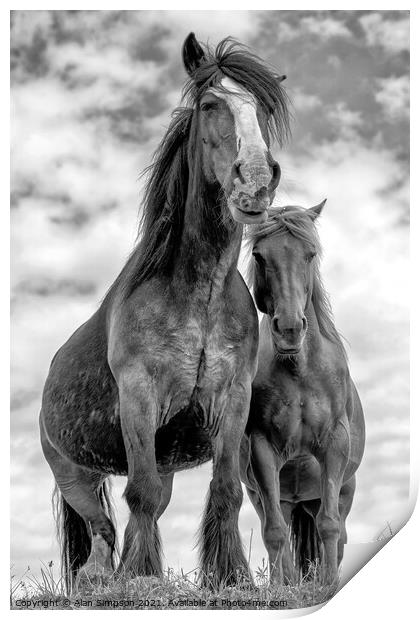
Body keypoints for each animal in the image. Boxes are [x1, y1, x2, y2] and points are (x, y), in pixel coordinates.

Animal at [38, 34, 288, 592]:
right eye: (211, 105)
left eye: (262, 110)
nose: (256, 181)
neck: (199, 297)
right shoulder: (139, 397)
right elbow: (142, 495)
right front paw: (141, 577)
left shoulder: (232, 401)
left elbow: (224, 491)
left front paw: (230, 576)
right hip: (72, 472)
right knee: (103, 526)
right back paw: (101, 580)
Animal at [241, 202, 366, 580]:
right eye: (259, 255)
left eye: (310, 254)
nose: (290, 329)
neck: (299, 371)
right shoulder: (262, 449)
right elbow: (274, 533)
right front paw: (282, 589)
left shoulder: (335, 446)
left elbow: (330, 527)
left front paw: (328, 585)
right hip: (271, 495)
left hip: (342, 489)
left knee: (337, 533)